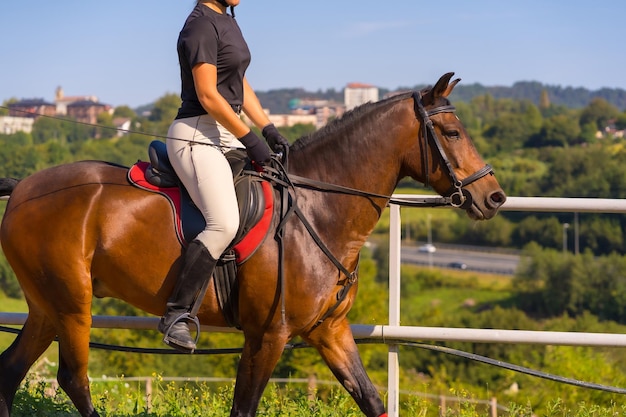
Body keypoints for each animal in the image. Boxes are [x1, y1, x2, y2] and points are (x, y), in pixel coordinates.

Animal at [0, 73, 502, 414]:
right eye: (453, 133)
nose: (493, 197)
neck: (318, 206)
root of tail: (24, 187)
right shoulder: (268, 335)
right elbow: (244, 407)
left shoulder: (330, 331)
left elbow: (372, 400)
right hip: (72, 305)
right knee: (74, 379)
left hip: (47, 307)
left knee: (10, 370)